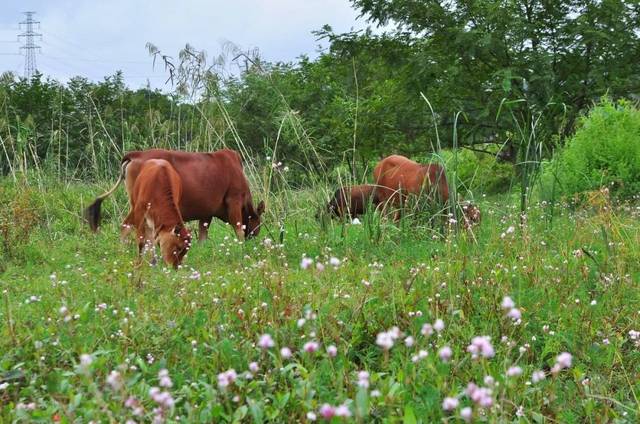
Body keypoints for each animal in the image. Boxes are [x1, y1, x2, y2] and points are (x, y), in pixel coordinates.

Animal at [85, 149, 264, 242]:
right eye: (258, 223)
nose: (253, 239)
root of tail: (135, 154)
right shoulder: (234, 200)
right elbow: (239, 229)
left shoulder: (206, 213)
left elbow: (203, 237)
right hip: (141, 205)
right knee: (126, 225)